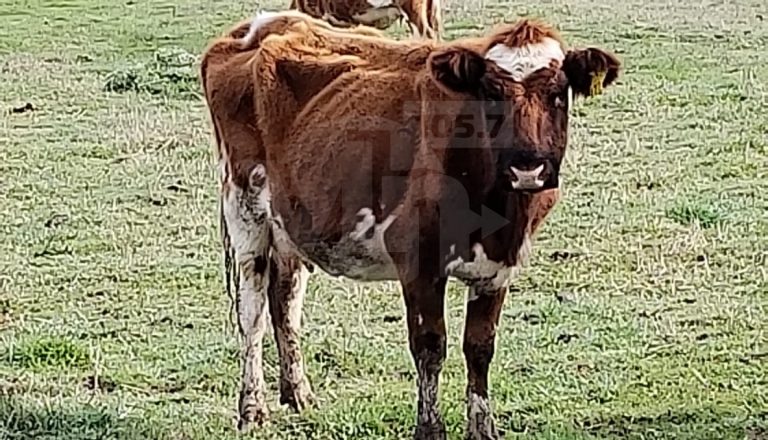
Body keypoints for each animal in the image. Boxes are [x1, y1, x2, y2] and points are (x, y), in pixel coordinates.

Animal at [200, 10, 620, 440]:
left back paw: (299, 394)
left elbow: (480, 347)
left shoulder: (499, 266)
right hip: (245, 210)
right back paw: (252, 407)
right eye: (492, 93)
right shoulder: (419, 260)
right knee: (252, 312)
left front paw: (482, 428)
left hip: (290, 222)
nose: (528, 168)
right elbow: (430, 346)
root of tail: (260, 25)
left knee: (284, 301)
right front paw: (430, 428)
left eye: (558, 93)